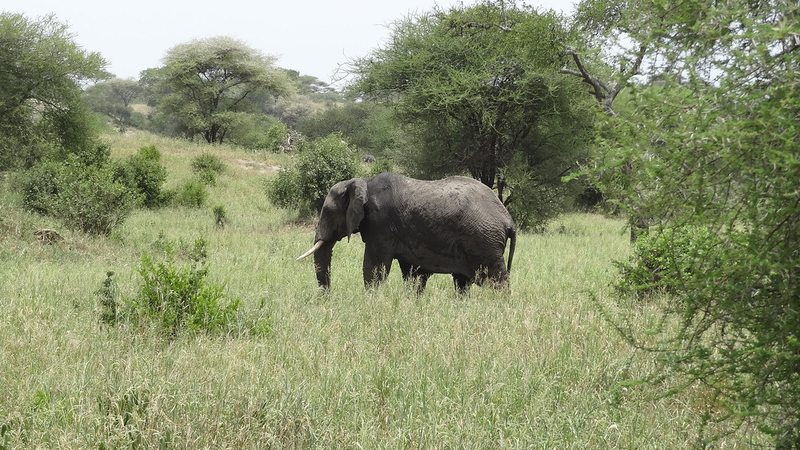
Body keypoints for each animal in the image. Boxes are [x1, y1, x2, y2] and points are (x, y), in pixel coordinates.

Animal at [296, 172, 517, 294]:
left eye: (328, 212)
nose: (327, 296)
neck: (363, 182)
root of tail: (508, 219)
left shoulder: (381, 225)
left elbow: (374, 267)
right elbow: (413, 273)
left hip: (484, 241)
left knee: (497, 280)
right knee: (462, 283)